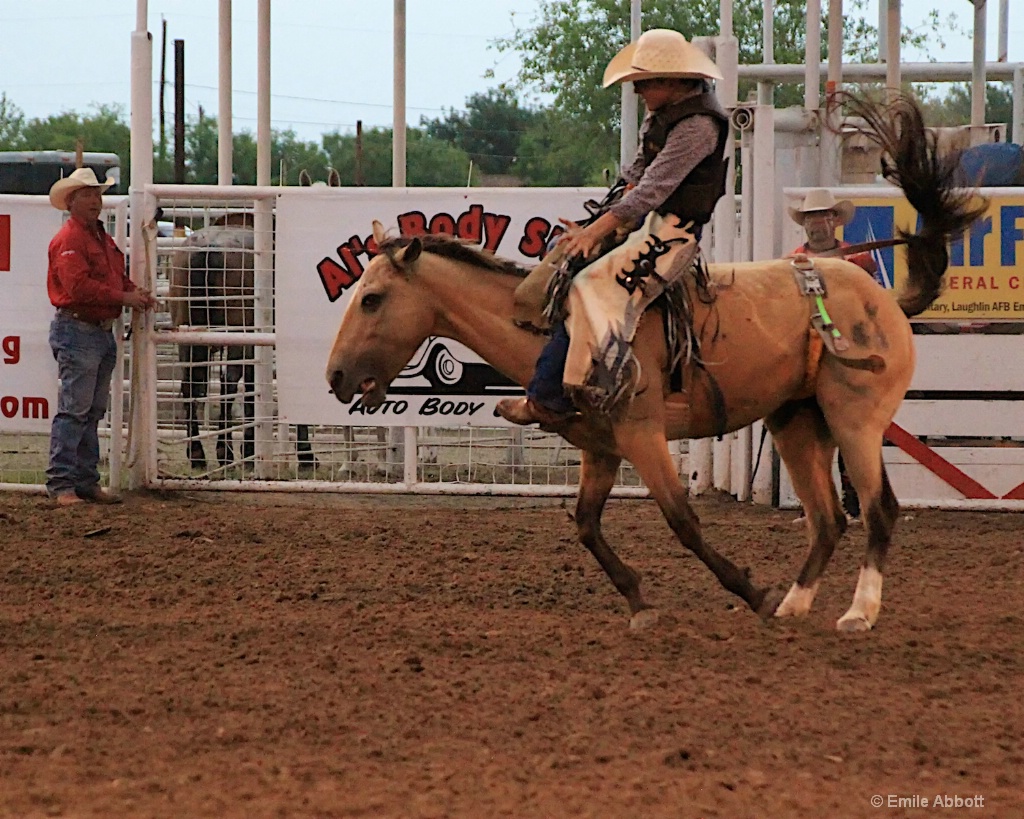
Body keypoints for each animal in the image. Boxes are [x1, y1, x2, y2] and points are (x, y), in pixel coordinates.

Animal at [325, 96, 983, 634]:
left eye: (372, 298)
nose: (335, 376)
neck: (556, 329)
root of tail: (882, 298)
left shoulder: (643, 435)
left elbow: (682, 520)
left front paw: (749, 590)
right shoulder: (600, 445)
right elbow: (586, 525)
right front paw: (641, 601)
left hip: (856, 420)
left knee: (877, 510)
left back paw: (858, 611)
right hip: (796, 421)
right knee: (826, 520)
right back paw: (796, 605)